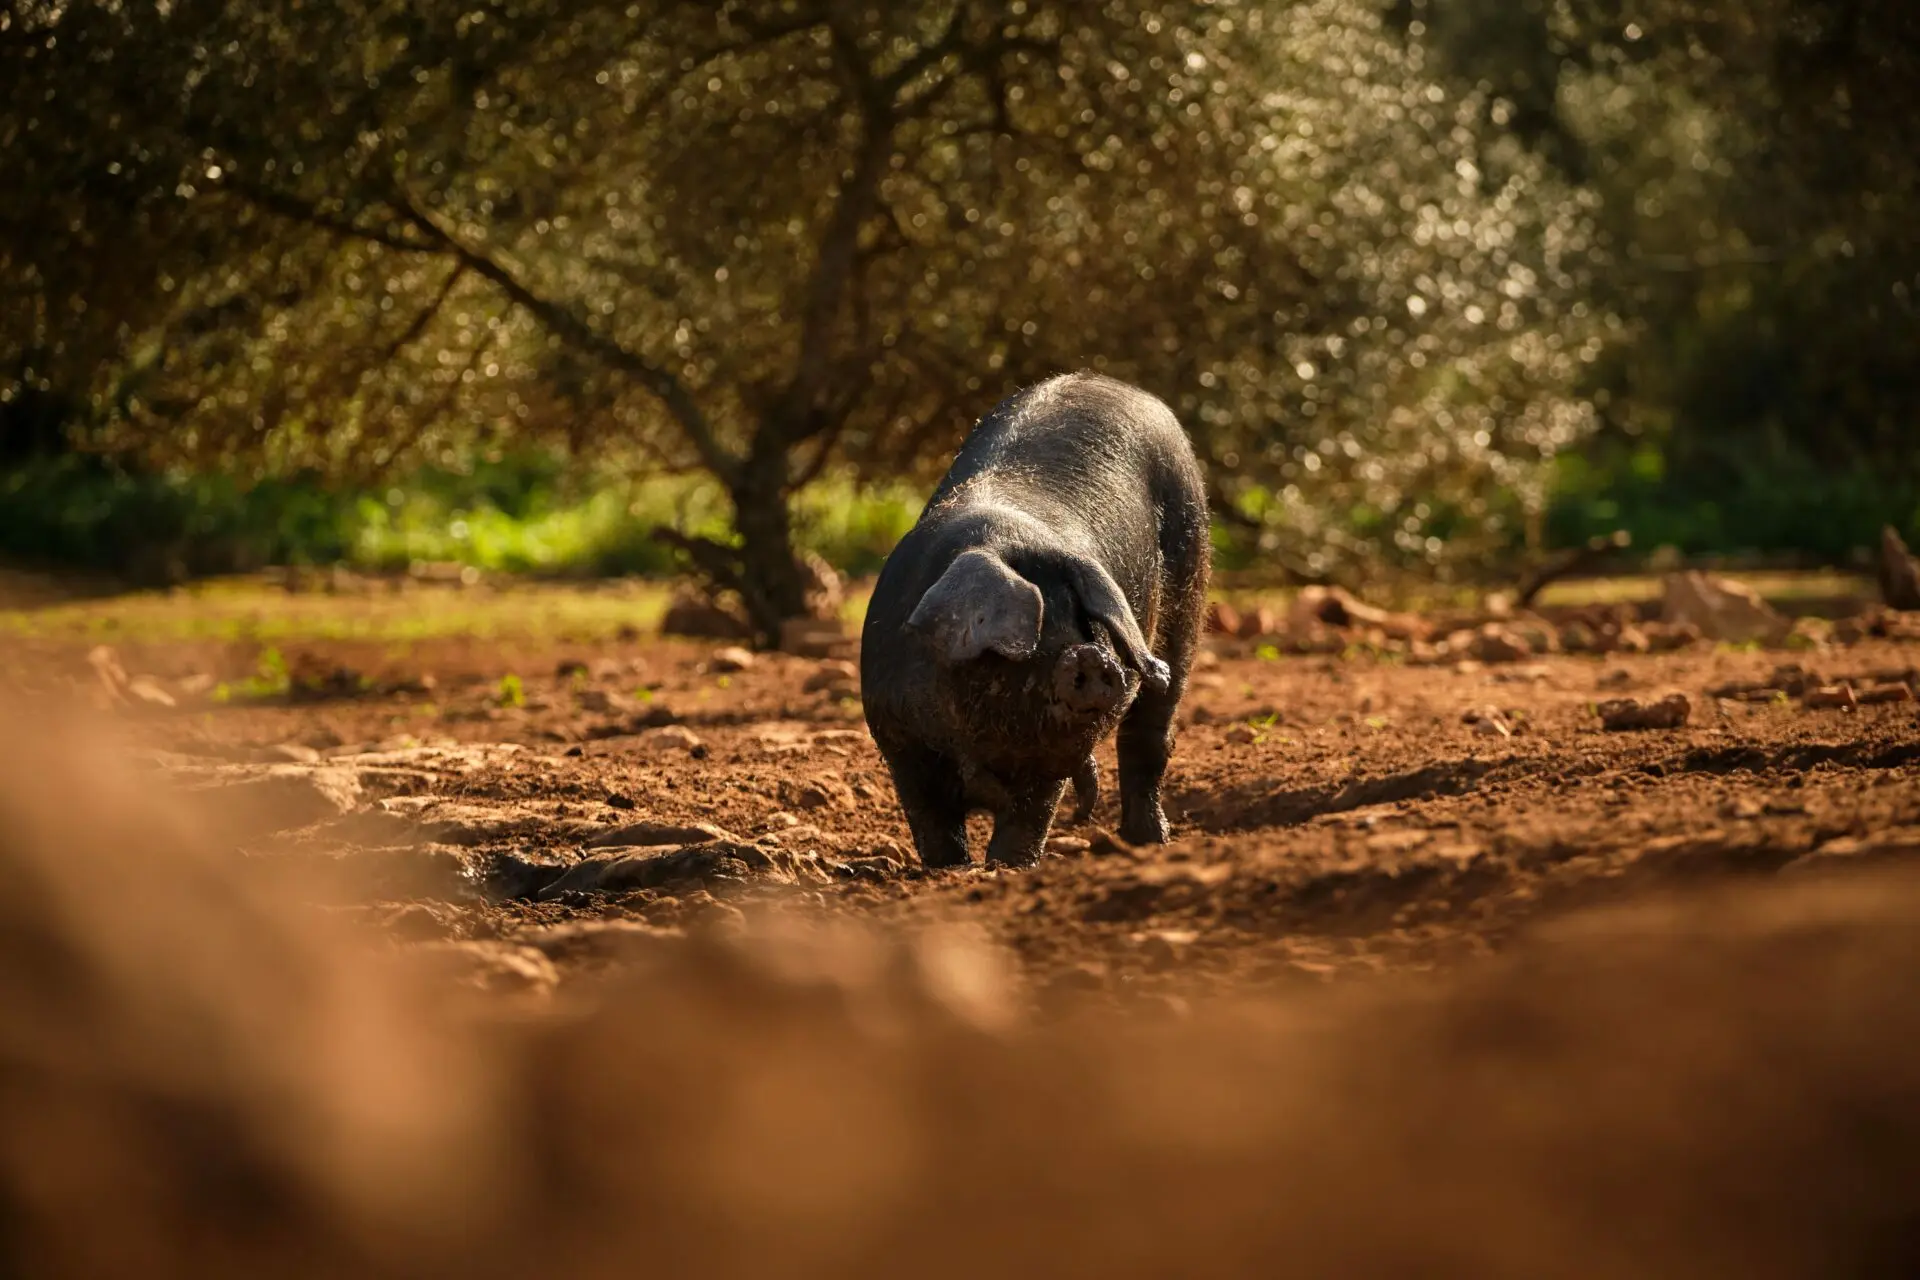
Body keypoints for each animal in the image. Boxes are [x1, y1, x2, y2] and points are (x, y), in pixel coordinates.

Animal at [864, 372, 1205, 871]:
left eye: (1082, 622)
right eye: (1035, 631)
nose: (1093, 656)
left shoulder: (1046, 762)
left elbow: (1029, 818)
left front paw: (1006, 868)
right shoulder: (899, 741)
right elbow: (932, 824)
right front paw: (949, 869)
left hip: (1190, 588)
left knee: (1149, 735)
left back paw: (1150, 842)